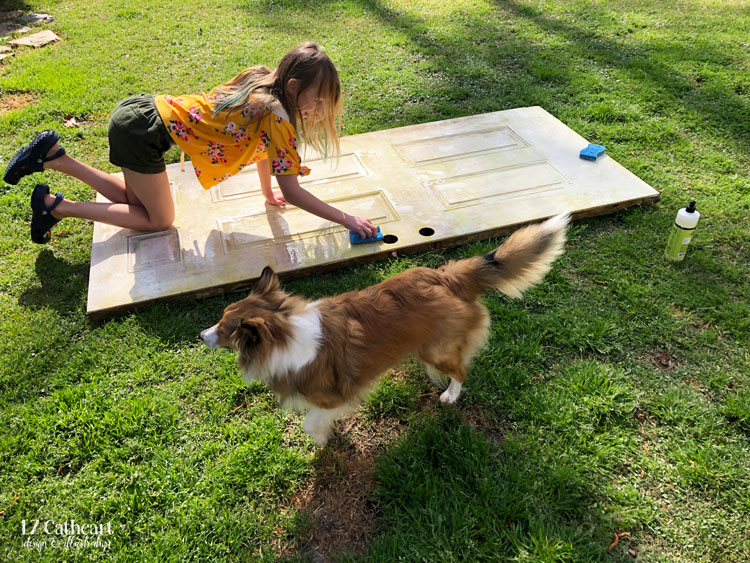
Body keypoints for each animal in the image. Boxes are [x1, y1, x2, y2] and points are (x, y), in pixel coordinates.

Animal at [200, 214, 568, 448]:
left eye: (225, 329)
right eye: (221, 318)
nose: (201, 336)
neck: (283, 330)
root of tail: (448, 276)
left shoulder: (333, 396)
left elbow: (310, 422)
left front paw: (322, 440)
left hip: (435, 350)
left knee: (461, 370)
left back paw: (450, 394)